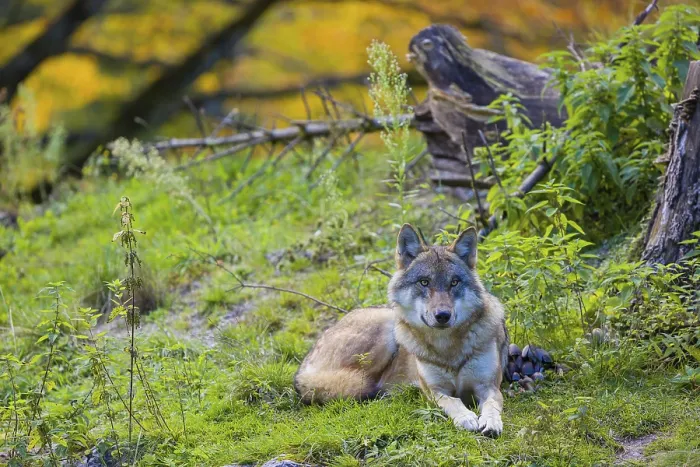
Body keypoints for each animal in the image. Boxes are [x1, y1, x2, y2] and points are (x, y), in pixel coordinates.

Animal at [294, 224, 509, 436]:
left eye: (454, 282)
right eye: (424, 282)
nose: (442, 315)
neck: (447, 349)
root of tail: (301, 370)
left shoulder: (488, 386)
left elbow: (491, 405)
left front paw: (491, 422)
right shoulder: (434, 391)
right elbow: (453, 402)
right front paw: (466, 417)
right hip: (388, 329)